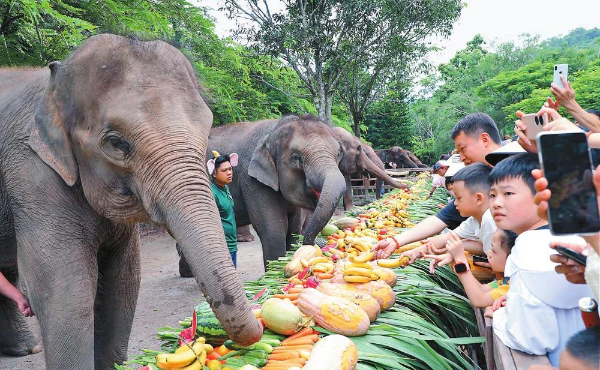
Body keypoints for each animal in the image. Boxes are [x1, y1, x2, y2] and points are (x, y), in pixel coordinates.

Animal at [0, 34, 262, 368]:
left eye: (207, 127)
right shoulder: (30, 171)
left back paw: (25, 348)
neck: (54, 85)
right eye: (116, 142)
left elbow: (123, 281)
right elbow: (64, 290)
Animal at [207, 117, 344, 264]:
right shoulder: (252, 181)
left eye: (338, 153)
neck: (274, 128)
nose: (312, 244)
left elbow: (293, 229)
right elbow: (273, 232)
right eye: (296, 157)